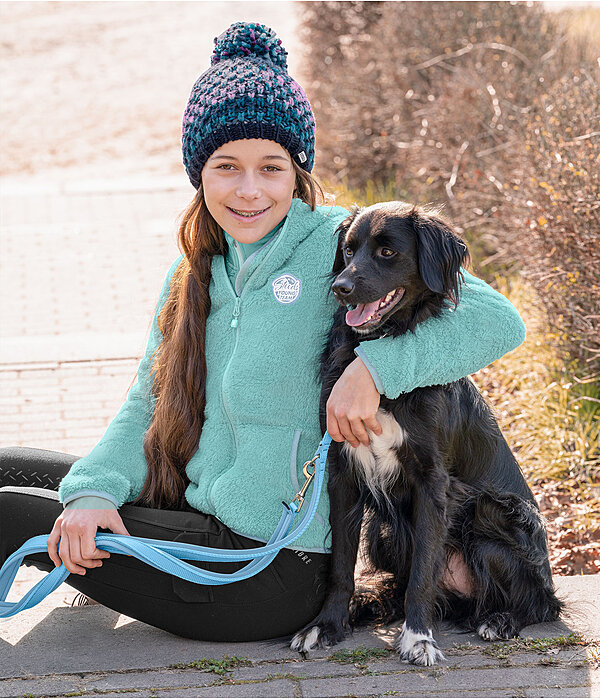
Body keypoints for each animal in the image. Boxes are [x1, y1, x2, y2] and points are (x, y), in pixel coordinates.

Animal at [290, 201, 564, 660]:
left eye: (387, 252)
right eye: (348, 250)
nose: (341, 288)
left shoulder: (432, 482)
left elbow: (423, 571)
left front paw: (418, 637)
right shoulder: (342, 472)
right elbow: (342, 563)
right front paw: (327, 624)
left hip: (493, 512)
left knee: (540, 602)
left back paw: (499, 620)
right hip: (383, 532)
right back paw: (368, 604)